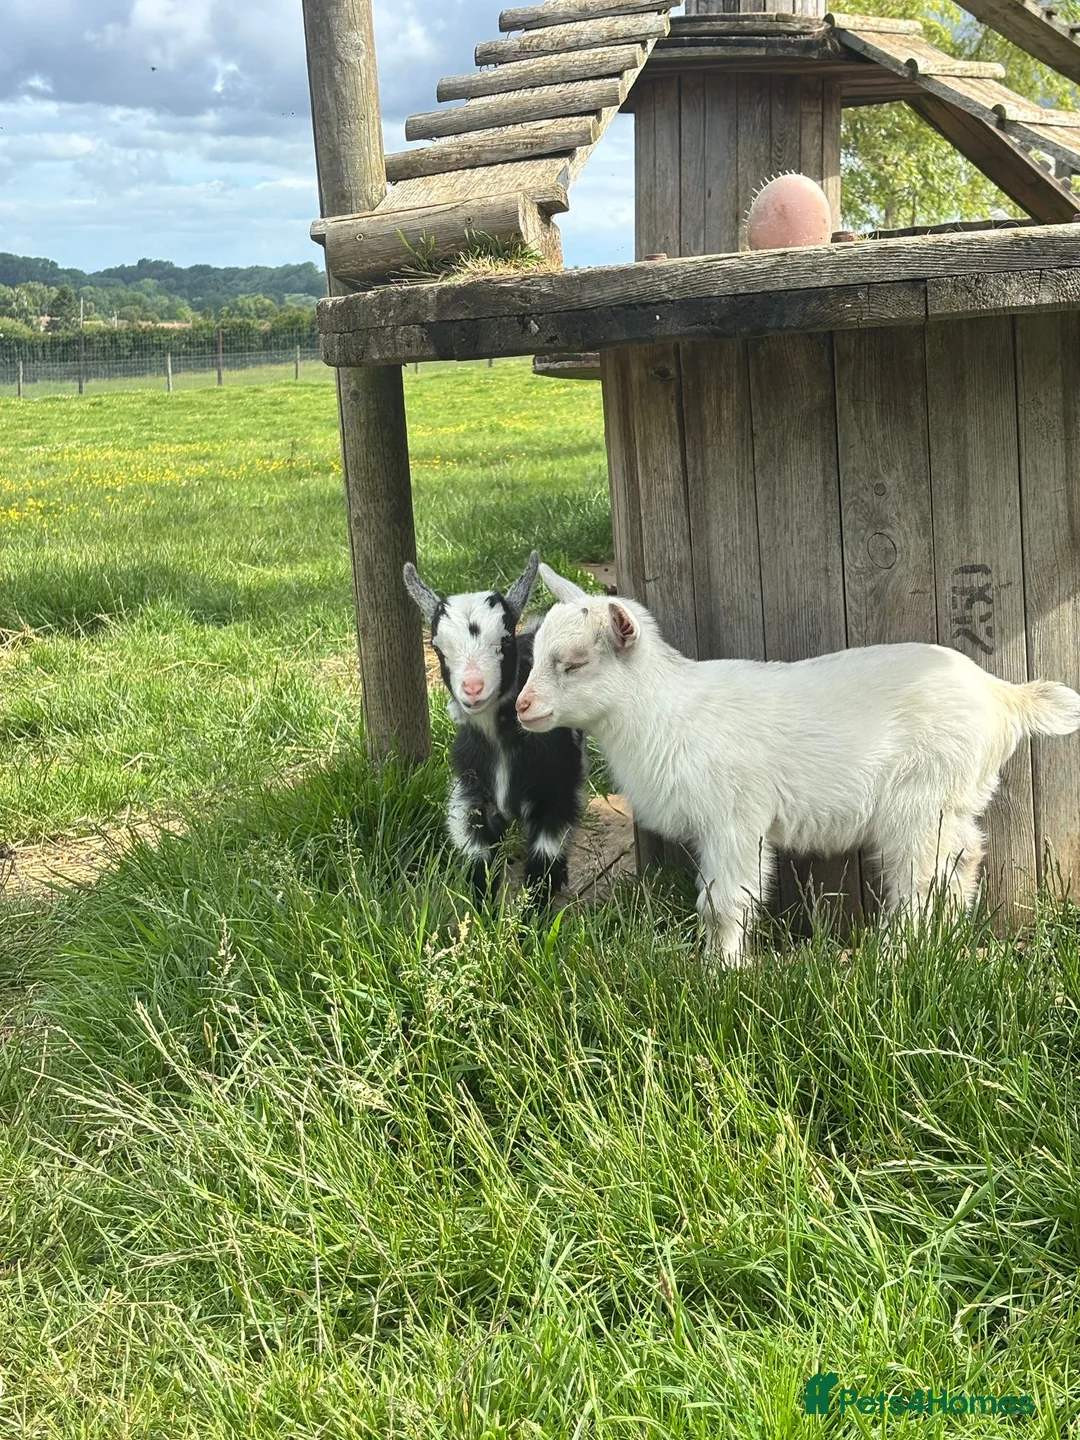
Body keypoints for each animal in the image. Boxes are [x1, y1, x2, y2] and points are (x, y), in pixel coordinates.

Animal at [404, 551, 588, 905]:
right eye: (438, 648)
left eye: (504, 639)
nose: (473, 688)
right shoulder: (469, 795)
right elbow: (477, 858)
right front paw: (481, 912)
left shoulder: (556, 792)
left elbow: (544, 861)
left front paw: (535, 916)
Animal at [516, 564, 1080, 964]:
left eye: (575, 663)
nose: (522, 706)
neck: (667, 713)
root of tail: (1005, 697)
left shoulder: (734, 819)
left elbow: (723, 904)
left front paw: (719, 975)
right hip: (951, 799)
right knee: (963, 858)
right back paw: (948, 940)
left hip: (921, 800)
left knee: (920, 879)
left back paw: (898, 957)